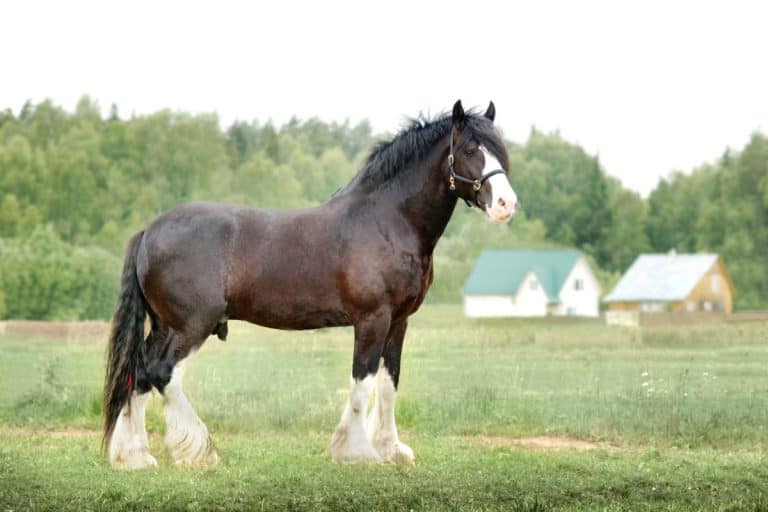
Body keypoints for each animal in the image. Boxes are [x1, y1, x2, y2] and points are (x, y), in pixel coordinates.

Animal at [103, 100, 518, 468]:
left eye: (500, 150)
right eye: (470, 149)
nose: (506, 204)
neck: (386, 221)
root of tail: (149, 231)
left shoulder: (399, 321)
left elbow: (388, 384)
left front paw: (390, 449)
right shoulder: (372, 319)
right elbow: (362, 382)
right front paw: (356, 451)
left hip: (164, 325)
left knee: (138, 375)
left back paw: (135, 456)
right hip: (190, 325)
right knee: (162, 375)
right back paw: (198, 450)